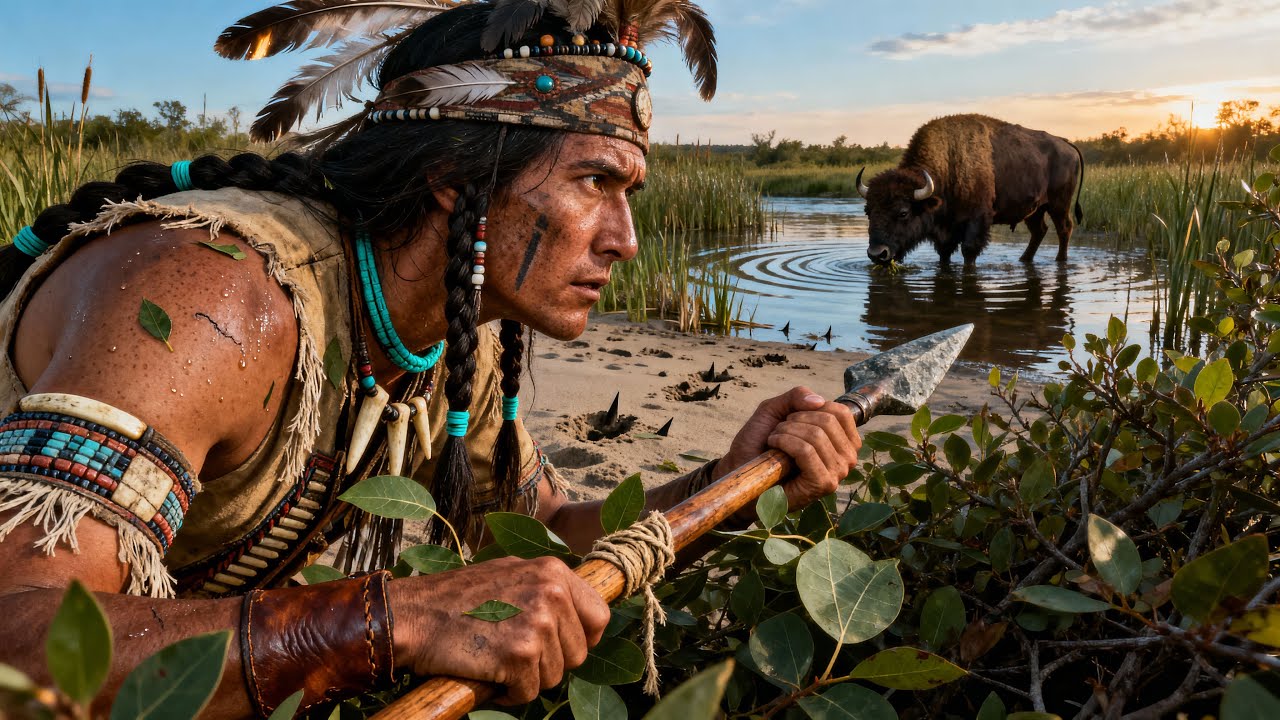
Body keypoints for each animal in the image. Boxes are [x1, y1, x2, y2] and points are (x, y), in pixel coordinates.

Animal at [857, 114, 1084, 266]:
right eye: (868, 211)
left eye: (903, 212)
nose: (877, 254)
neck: (949, 161)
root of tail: (1067, 144)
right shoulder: (945, 230)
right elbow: (944, 254)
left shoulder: (977, 220)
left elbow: (969, 252)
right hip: (1035, 209)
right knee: (1040, 231)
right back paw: (1023, 259)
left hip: (1058, 204)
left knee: (1064, 228)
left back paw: (1060, 261)